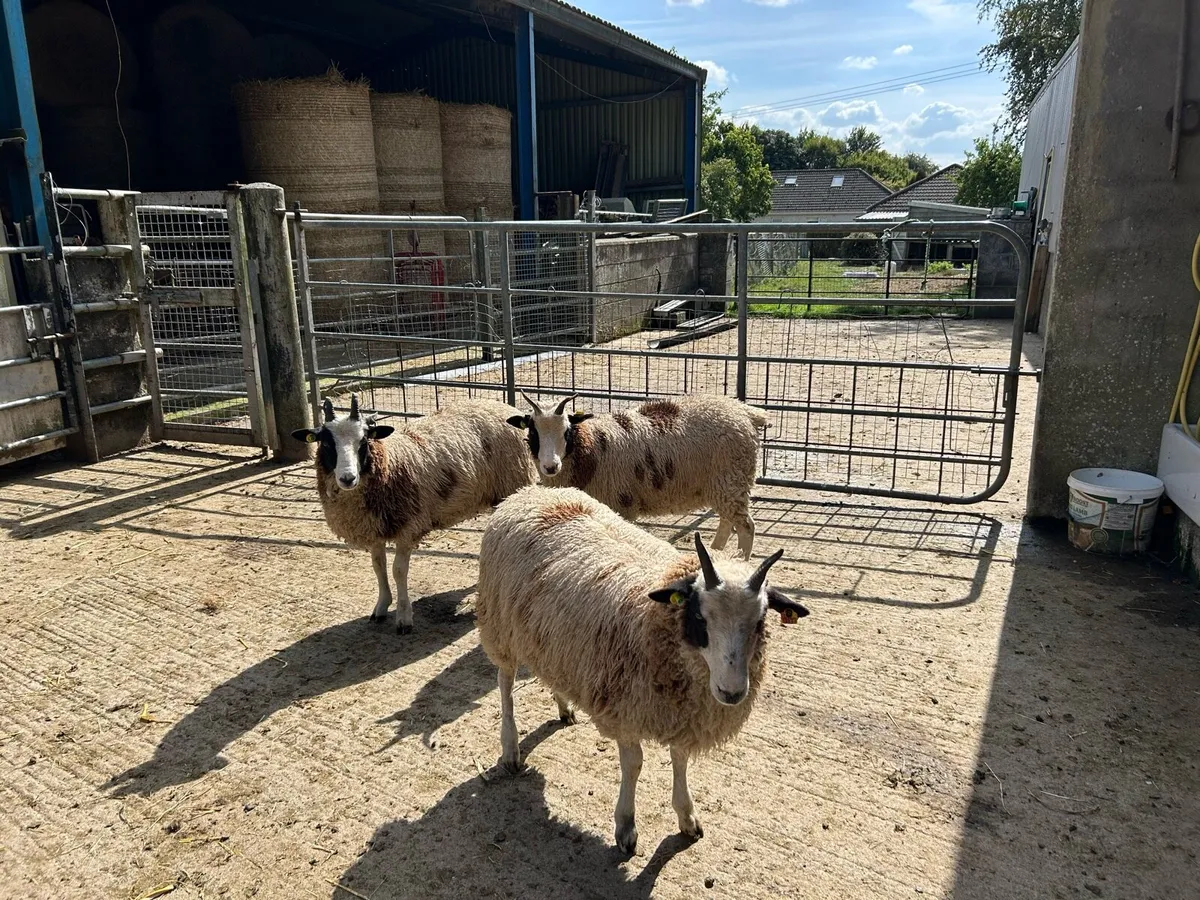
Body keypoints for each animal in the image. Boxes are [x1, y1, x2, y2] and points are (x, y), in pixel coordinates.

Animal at [291, 394, 538, 633]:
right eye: (326, 442)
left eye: (364, 440)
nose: (347, 478)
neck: (390, 463)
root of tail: (500, 405)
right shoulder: (375, 527)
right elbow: (378, 566)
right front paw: (381, 606)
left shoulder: (408, 527)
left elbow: (398, 570)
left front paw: (403, 618)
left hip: (512, 486)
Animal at [475, 485, 809, 853]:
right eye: (698, 617)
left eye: (760, 621)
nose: (732, 692)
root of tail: (533, 491)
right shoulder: (624, 708)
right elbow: (634, 765)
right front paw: (626, 826)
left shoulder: (681, 714)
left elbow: (680, 759)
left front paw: (686, 816)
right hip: (499, 628)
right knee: (505, 682)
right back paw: (510, 749)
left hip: (550, 641)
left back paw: (564, 708)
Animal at [506, 393, 767, 559]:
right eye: (533, 433)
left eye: (566, 431)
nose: (551, 466)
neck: (591, 446)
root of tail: (744, 411)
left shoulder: (621, 503)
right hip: (725, 485)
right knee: (727, 522)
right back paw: (716, 552)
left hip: (732, 479)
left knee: (746, 527)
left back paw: (740, 560)